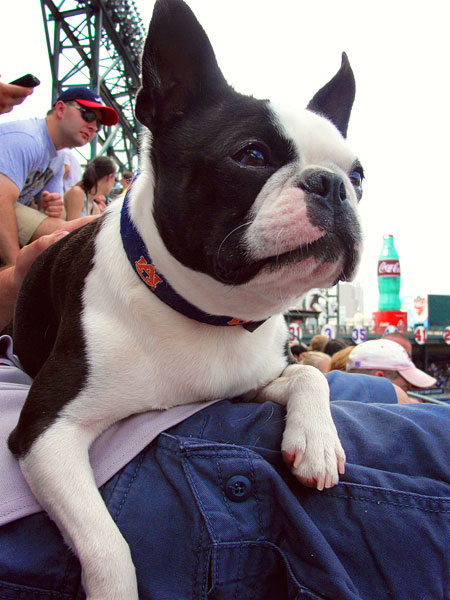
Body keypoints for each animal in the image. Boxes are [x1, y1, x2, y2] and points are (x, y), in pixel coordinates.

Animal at [9, 0, 362, 596]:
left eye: (359, 175)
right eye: (251, 155)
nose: (333, 185)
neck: (207, 313)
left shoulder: (247, 384)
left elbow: (307, 374)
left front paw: (316, 440)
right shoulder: (45, 434)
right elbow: (108, 545)